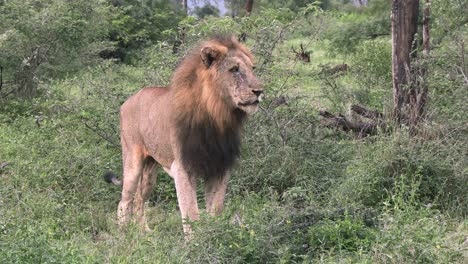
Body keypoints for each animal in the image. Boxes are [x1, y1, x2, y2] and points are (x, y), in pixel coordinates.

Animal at [105, 35, 264, 235]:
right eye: (234, 69)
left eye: (253, 68)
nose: (259, 91)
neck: (217, 117)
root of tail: (129, 99)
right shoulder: (183, 168)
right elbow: (191, 213)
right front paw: (197, 241)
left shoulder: (220, 168)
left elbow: (215, 211)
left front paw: (214, 235)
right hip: (132, 161)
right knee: (124, 201)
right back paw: (124, 235)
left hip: (151, 170)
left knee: (140, 200)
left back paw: (145, 233)